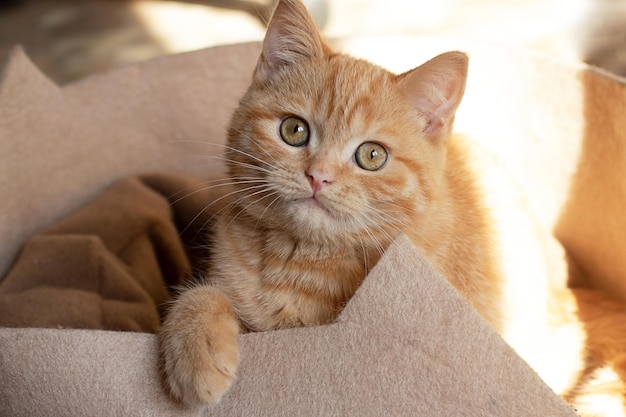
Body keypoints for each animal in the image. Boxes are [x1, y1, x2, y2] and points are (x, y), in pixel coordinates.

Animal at [160, 0, 502, 404]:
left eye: (372, 155)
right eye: (294, 130)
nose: (318, 176)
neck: (298, 260)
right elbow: (205, 292)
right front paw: (194, 345)